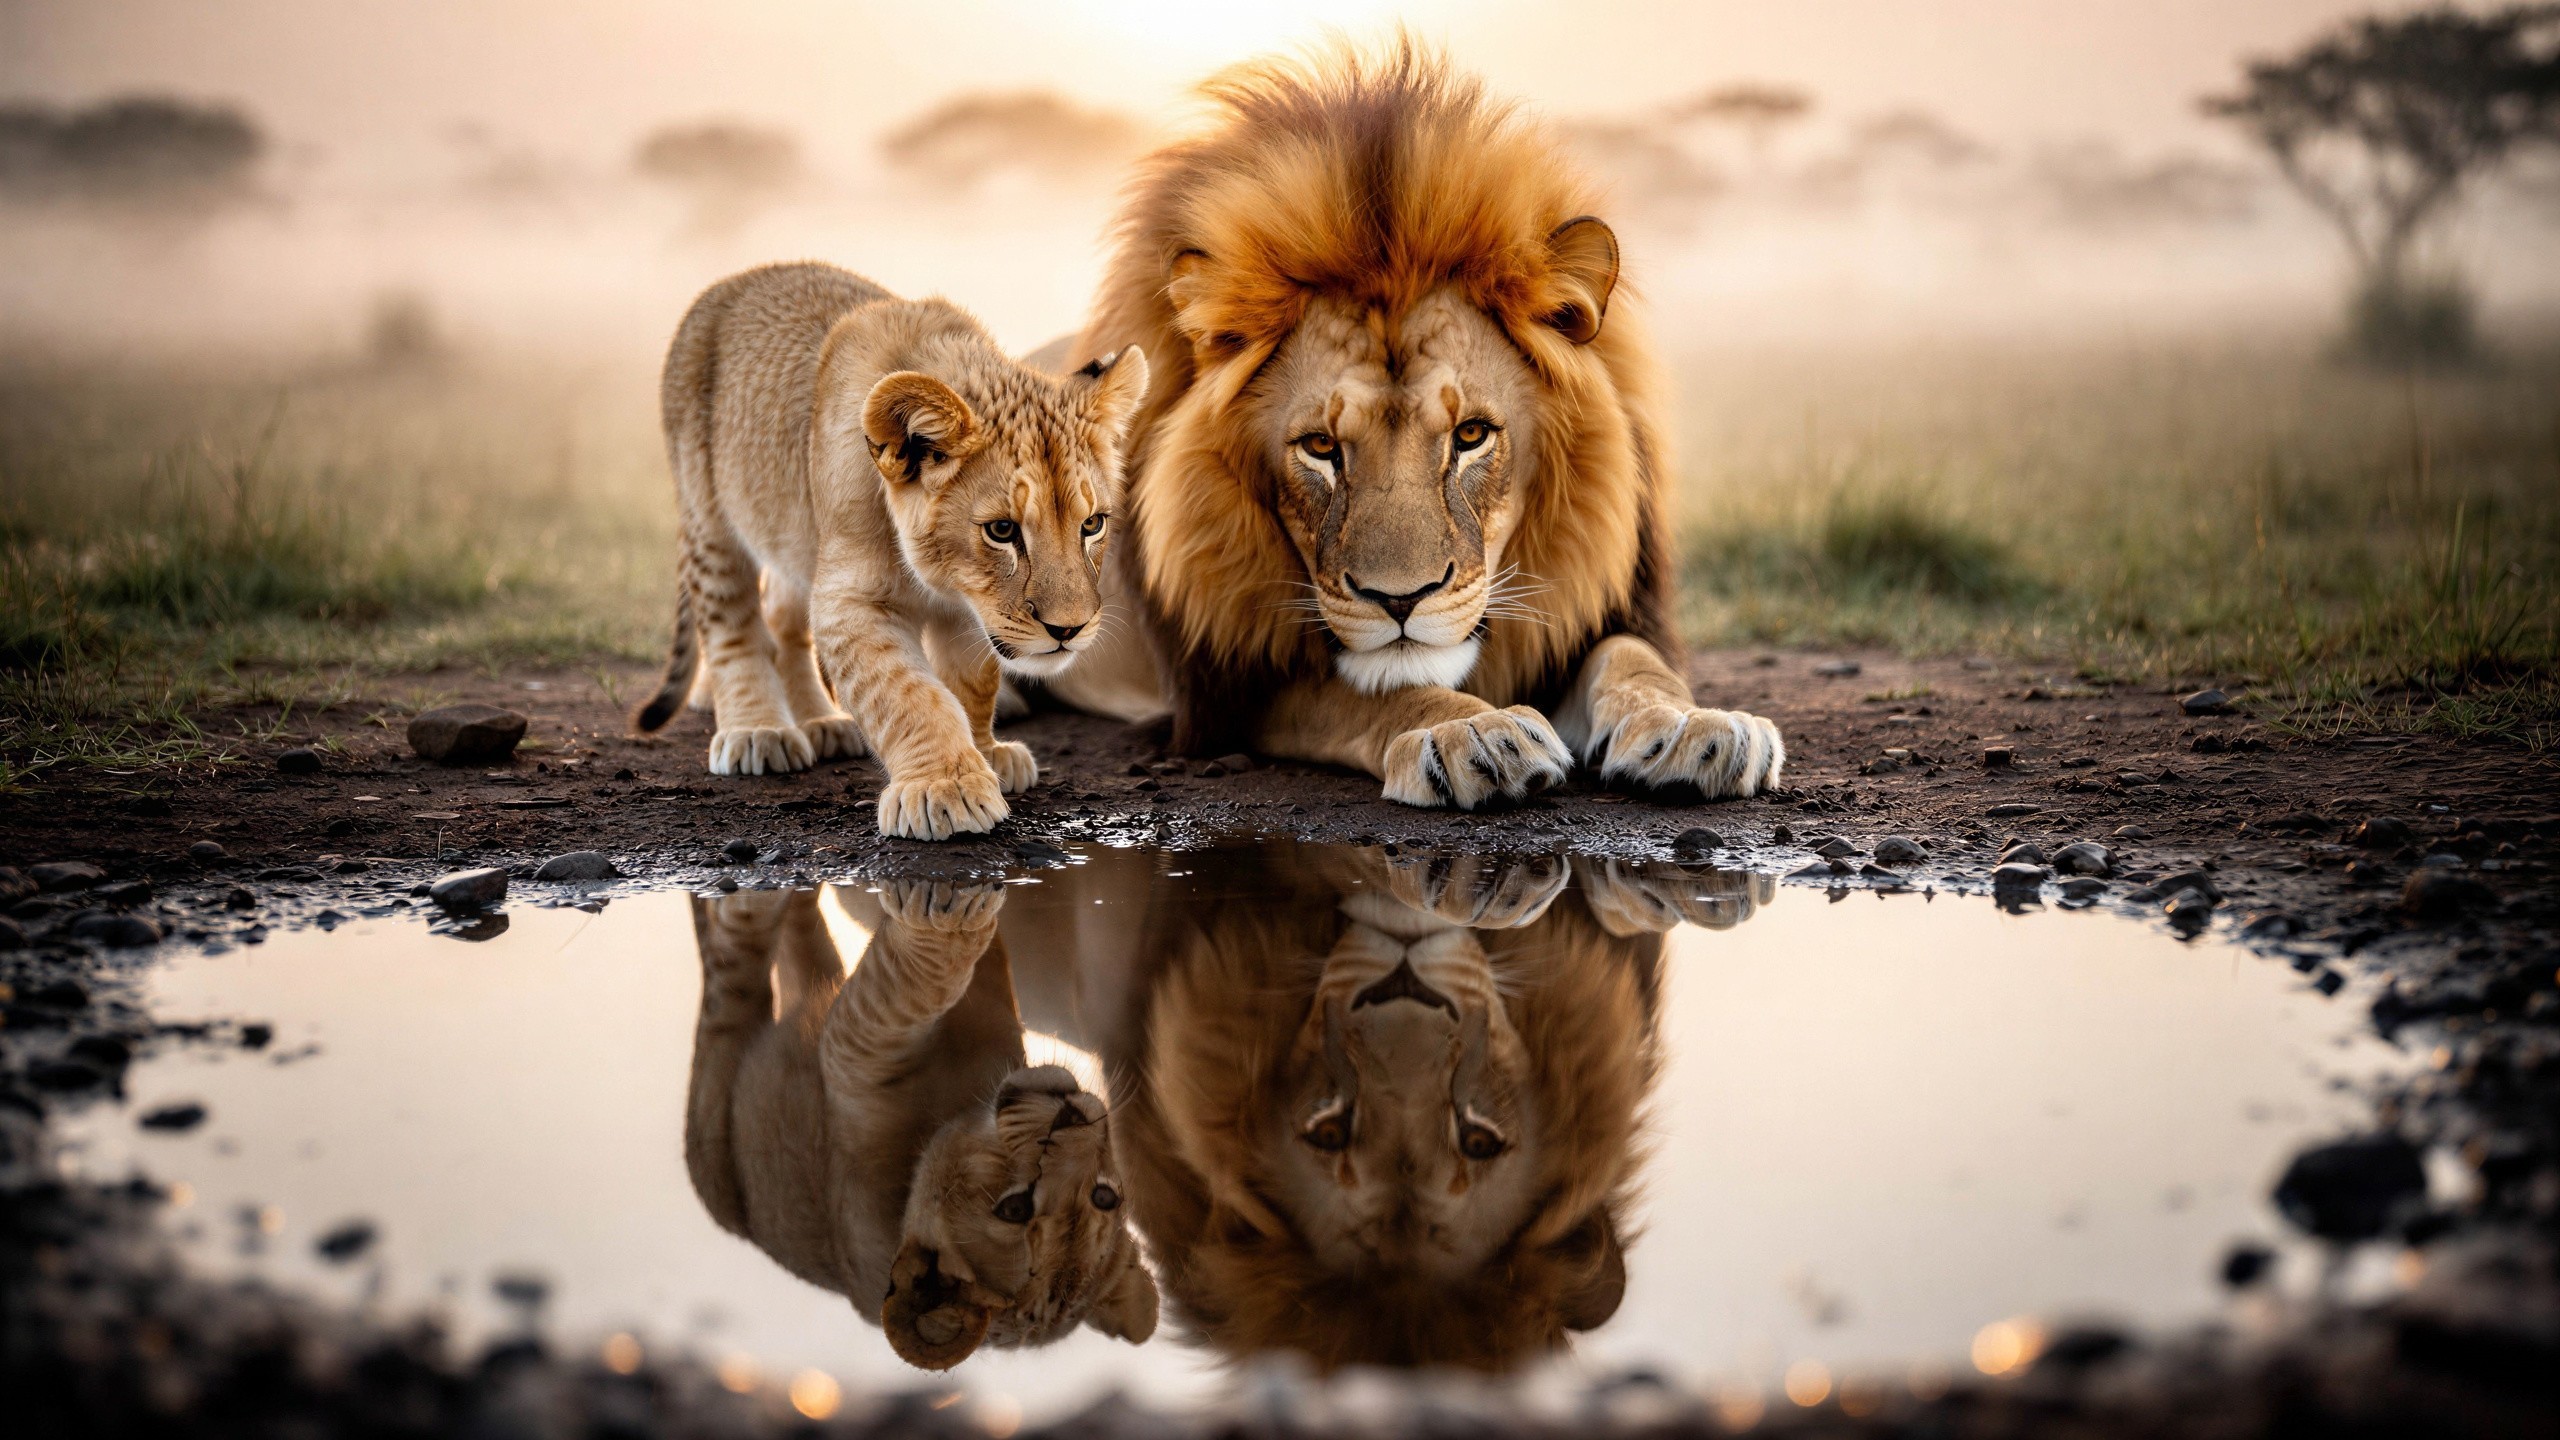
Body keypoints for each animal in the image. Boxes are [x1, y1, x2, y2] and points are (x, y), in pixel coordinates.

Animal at [633, 261, 1148, 839]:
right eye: (1001, 530)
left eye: (1092, 524)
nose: (1069, 631)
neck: (939, 578)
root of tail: (733, 282)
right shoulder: (849, 600)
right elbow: (907, 694)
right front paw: (945, 789)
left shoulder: (969, 613)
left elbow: (971, 686)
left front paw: (986, 754)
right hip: (709, 515)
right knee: (732, 624)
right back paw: (759, 731)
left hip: (798, 540)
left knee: (784, 616)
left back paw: (822, 723)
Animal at [681, 879, 1158, 1370]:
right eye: (1106, 1196)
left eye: (1014, 1209)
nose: (1071, 1116)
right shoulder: (992, 1007)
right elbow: (970, 967)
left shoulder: (852, 1050)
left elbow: (919, 982)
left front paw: (946, 916)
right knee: (805, 947)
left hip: (715, 1131)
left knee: (732, 973)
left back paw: (747, 904)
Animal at [1059, 44, 1782, 810]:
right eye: (1321, 447)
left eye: (1470, 435)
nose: (1400, 600)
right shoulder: (1234, 694)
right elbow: (1382, 692)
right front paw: (1470, 734)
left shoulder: (1603, 613)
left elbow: (1632, 657)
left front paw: (1695, 727)